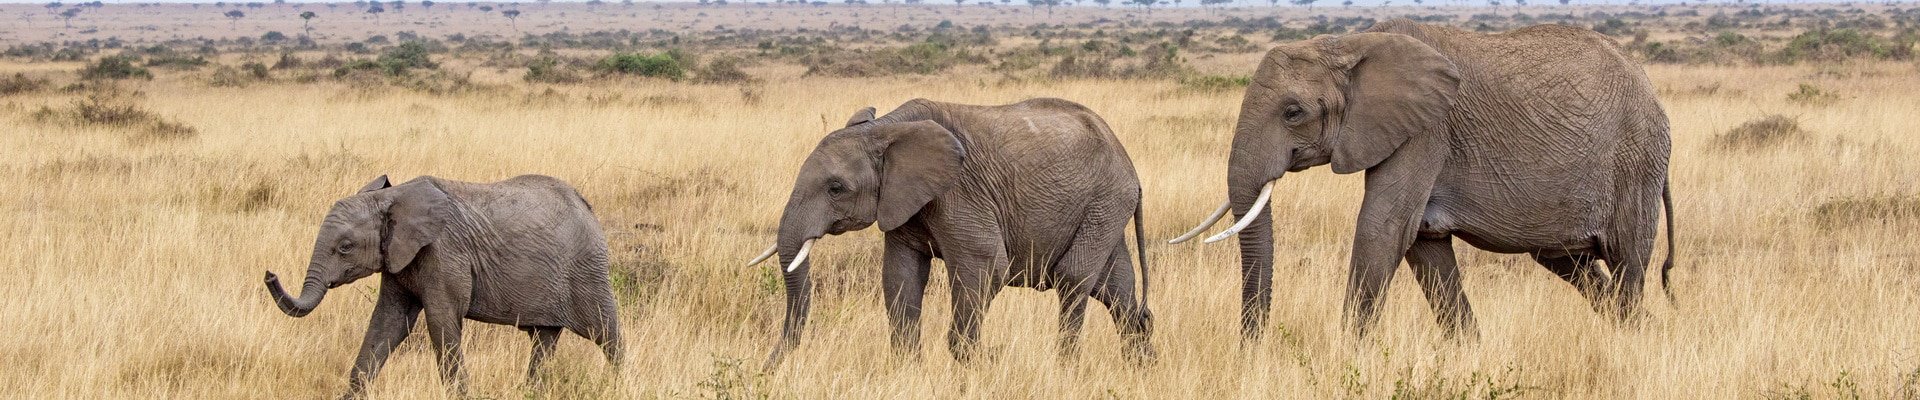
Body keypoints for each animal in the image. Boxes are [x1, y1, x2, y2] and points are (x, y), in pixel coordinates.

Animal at [263, 174, 622, 399]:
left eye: (345, 247)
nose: (268, 274)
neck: (392, 197)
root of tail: (586, 204)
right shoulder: (399, 259)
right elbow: (387, 324)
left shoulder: (443, 252)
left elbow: (441, 323)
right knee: (543, 340)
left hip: (587, 269)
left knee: (606, 333)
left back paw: (619, 381)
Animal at [745, 98, 1154, 368]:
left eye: (835, 188)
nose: (764, 369)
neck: (887, 127)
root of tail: (1129, 162)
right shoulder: (902, 201)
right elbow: (900, 275)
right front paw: (907, 370)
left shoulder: (960, 192)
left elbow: (986, 265)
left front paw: (970, 369)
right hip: (1103, 208)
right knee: (1116, 289)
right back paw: (1140, 365)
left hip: (1105, 201)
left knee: (1073, 279)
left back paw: (1065, 366)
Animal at [1172, 19, 1676, 341]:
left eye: (1292, 112)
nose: (1251, 347)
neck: (1349, 44)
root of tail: (1652, 91)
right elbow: (1422, 242)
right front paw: (1470, 353)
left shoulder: (1426, 131)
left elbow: (1383, 229)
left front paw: (1348, 355)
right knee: (1571, 264)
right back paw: (1650, 334)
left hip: (1636, 162)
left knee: (1628, 262)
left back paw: (1637, 342)